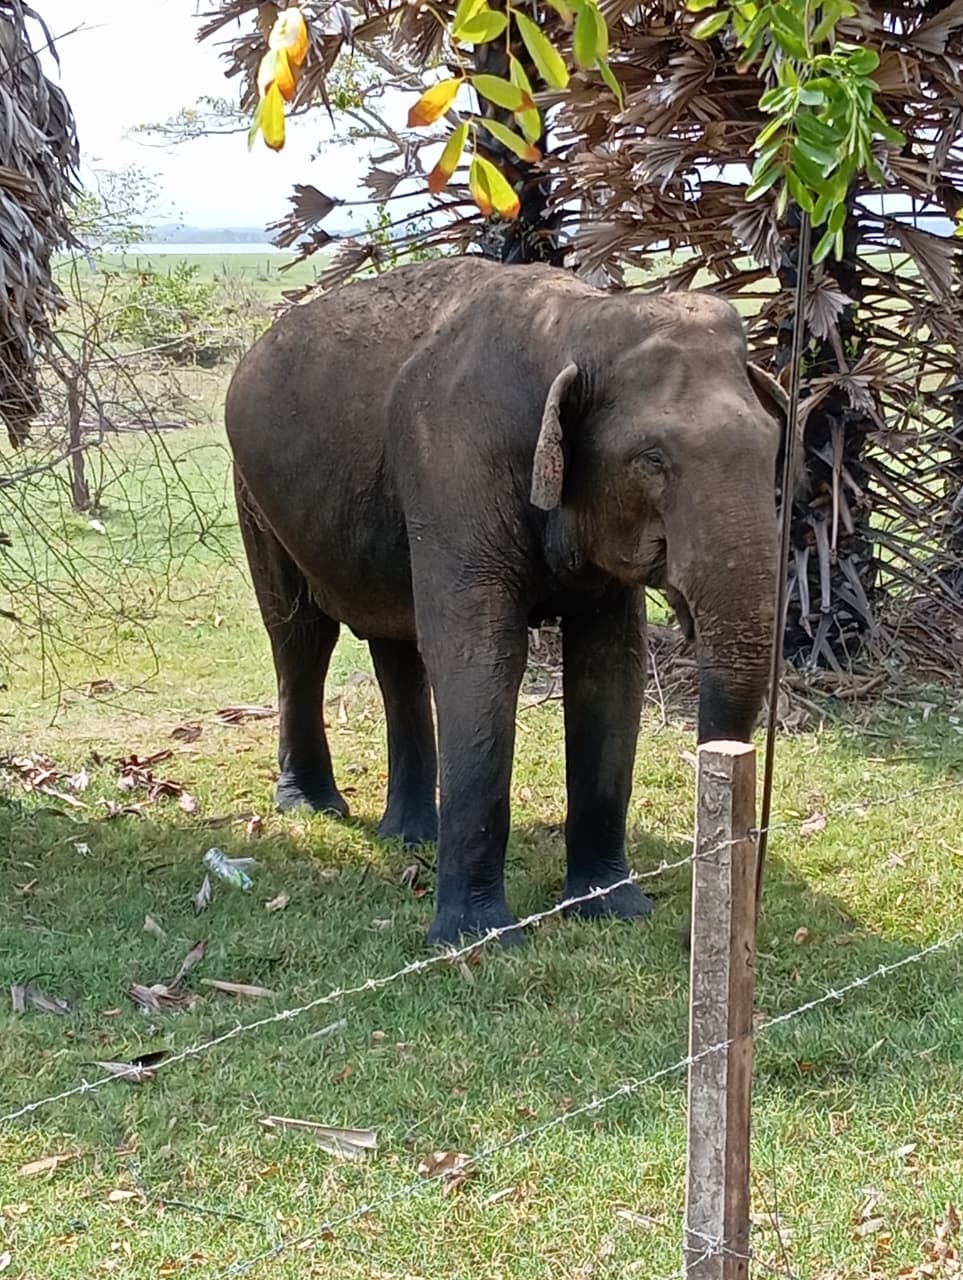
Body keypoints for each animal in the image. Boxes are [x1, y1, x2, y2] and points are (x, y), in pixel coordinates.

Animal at [224, 256, 785, 946]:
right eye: (651, 460)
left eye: (774, 444)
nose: (693, 930)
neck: (578, 321)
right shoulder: (453, 466)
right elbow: (480, 661)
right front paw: (478, 940)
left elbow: (611, 670)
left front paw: (611, 908)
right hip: (255, 494)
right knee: (301, 635)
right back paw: (314, 806)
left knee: (396, 648)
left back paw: (412, 835)